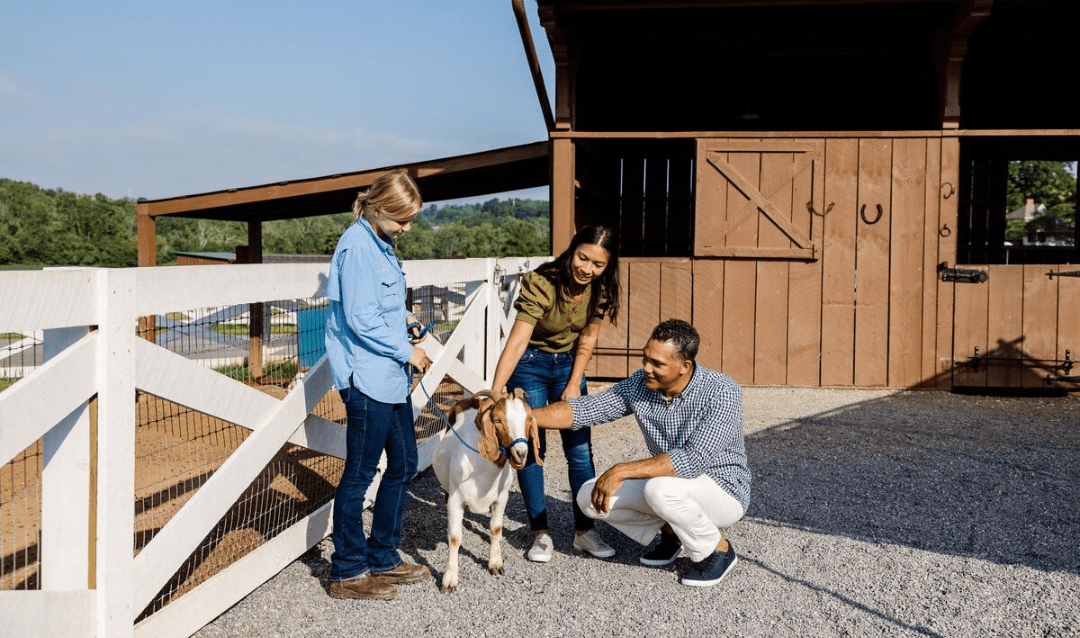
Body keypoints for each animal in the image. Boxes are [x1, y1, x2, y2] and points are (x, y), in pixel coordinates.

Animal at [432, 388, 544, 595]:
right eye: (498, 420)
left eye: (528, 419)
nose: (521, 454)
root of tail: (470, 400)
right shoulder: (456, 500)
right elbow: (455, 538)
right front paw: (449, 579)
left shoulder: (501, 499)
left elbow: (496, 529)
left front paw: (495, 564)